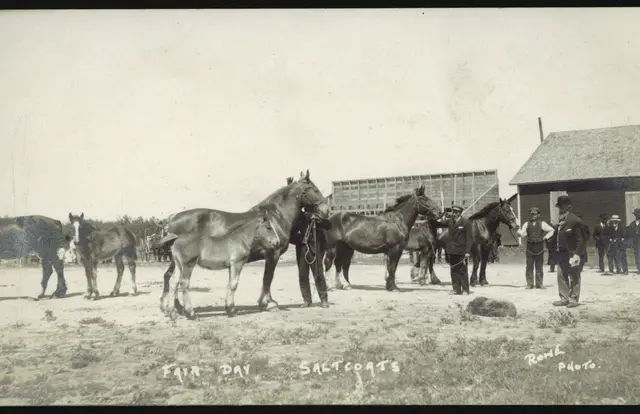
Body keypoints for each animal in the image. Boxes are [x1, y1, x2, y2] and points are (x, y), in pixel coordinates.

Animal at [157, 169, 330, 314]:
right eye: (314, 189)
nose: (326, 211)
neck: (275, 216)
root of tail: (173, 217)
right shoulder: (272, 254)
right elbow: (268, 278)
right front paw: (269, 303)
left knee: (170, 277)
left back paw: (172, 307)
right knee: (174, 278)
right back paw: (178, 308)